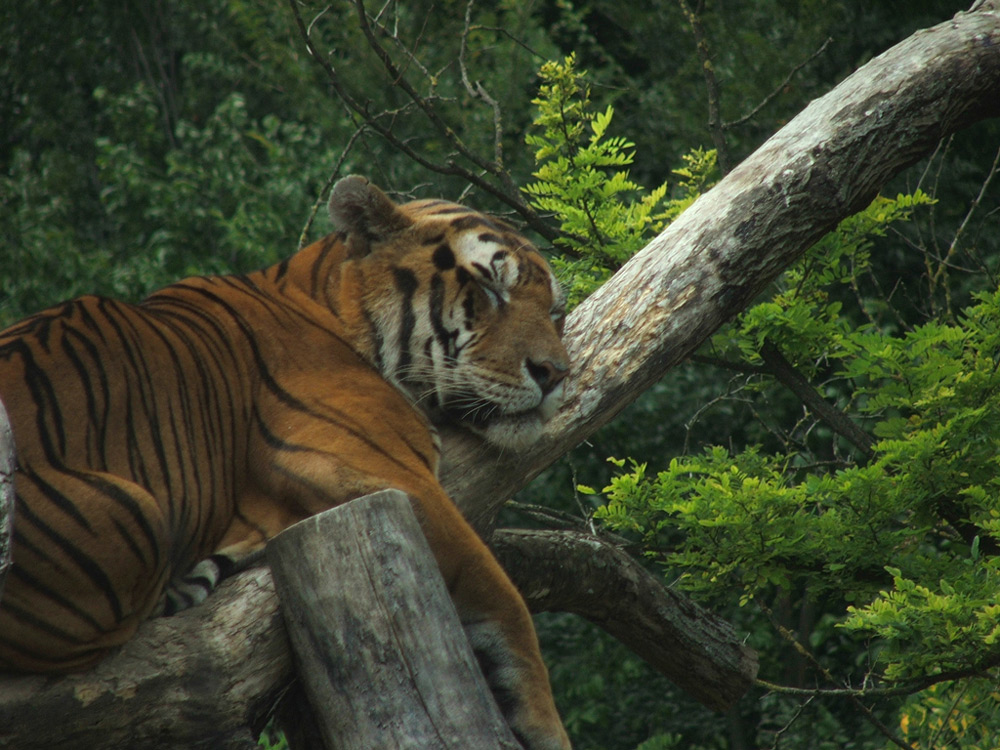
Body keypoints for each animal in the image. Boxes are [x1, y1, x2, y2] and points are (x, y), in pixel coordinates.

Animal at [0, 175, 572, 750]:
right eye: (491, 289)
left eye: (555, 311)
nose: (557, 374)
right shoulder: (375, 472)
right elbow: (500, 593)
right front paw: (544, 722)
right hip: (135, 513)